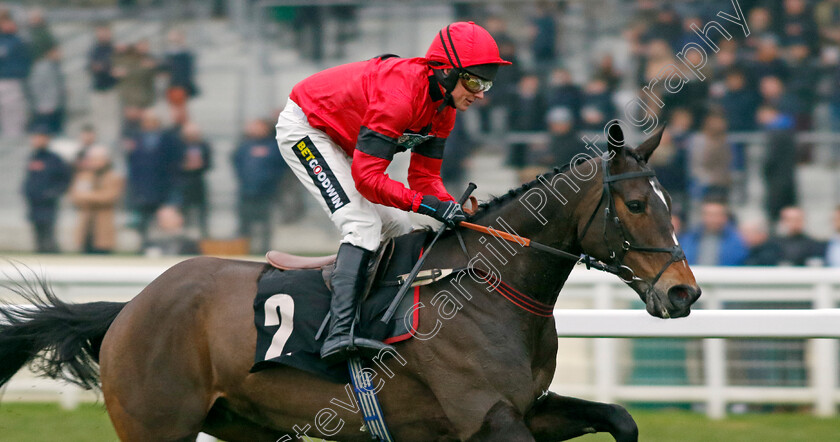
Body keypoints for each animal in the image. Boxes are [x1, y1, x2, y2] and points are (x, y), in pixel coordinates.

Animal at [0, 125, 700, 442]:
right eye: (637, 204)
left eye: (669, 199)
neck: (484, 285)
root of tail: (132, 305)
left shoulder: (529, 408)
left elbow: (620, 417)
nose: (684, 293)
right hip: (159, 425)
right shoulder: (488, 418)